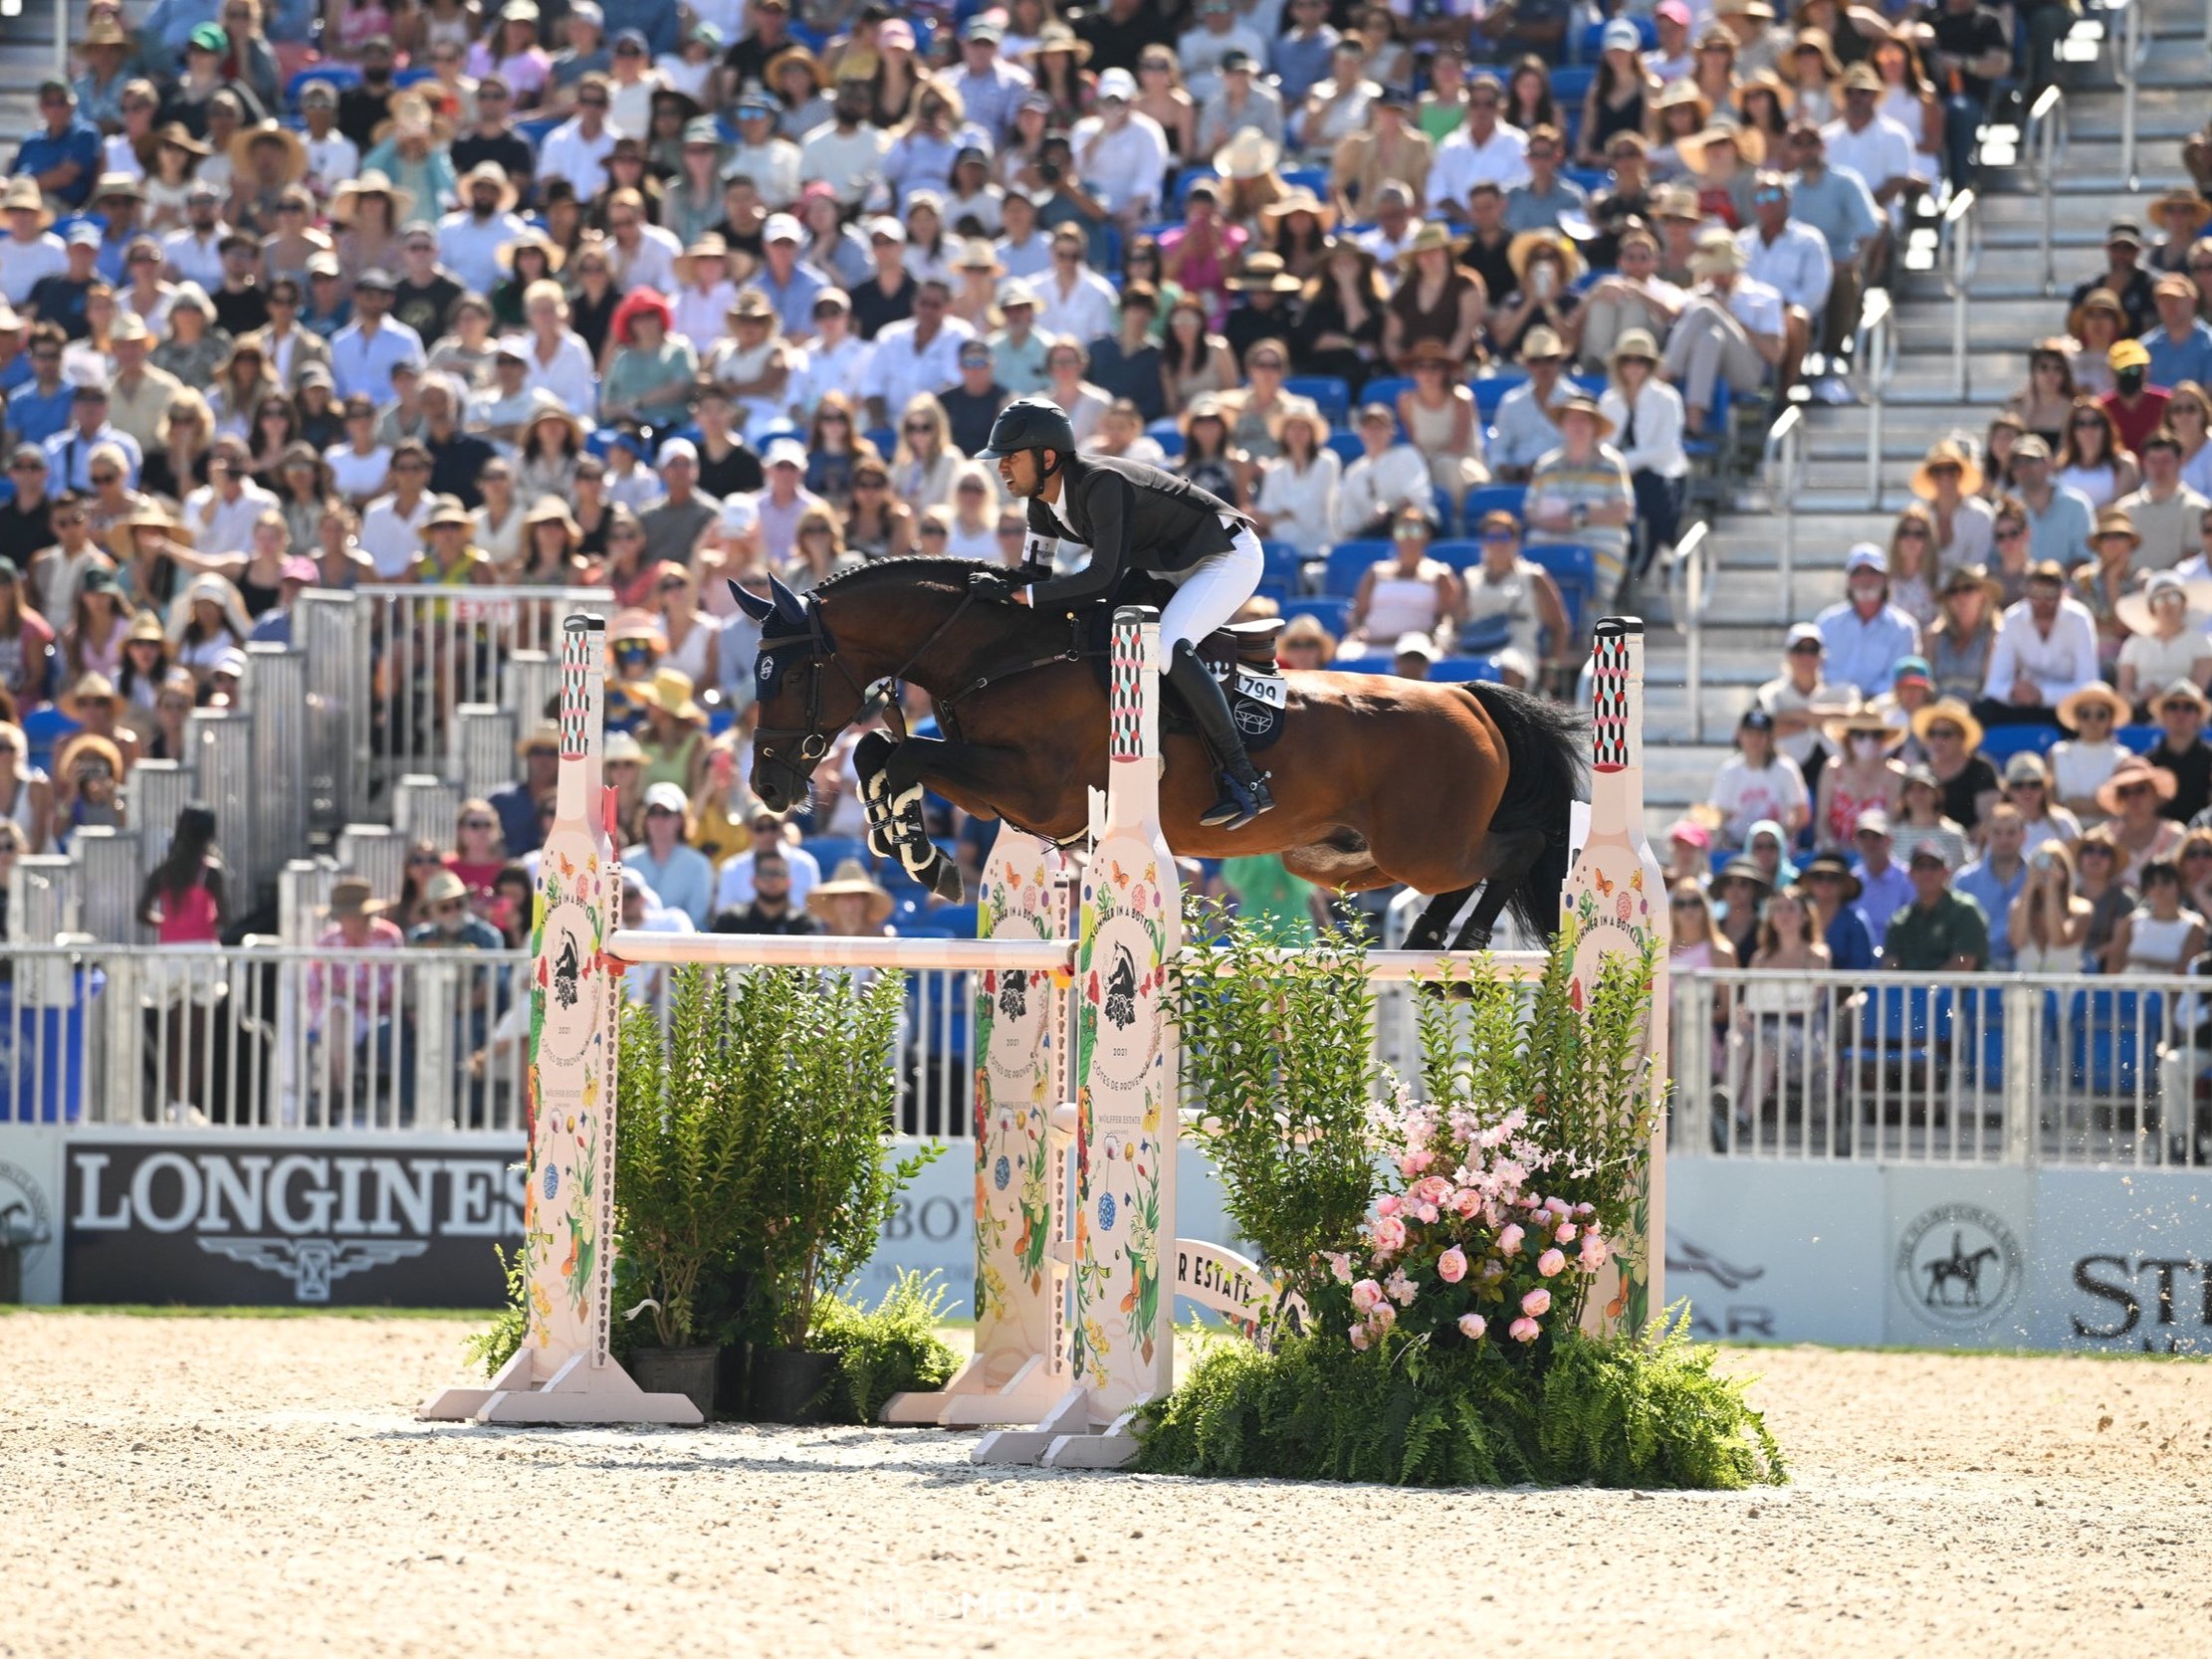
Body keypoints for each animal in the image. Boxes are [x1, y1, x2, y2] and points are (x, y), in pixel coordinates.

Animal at [734, 561, 1583, 955]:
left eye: (792, 674)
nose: (768, 784)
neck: (1003, 654)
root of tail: (1470, 698)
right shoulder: (1009, 798)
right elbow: (885, 748)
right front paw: (903, 837)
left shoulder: (1039, 792)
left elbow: (904, 753)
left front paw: (918, 853)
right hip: (1348, 858)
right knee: (1469, 869)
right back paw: (1427, 942)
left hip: (1422, 843)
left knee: (1517, 847)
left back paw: (1460, 944)